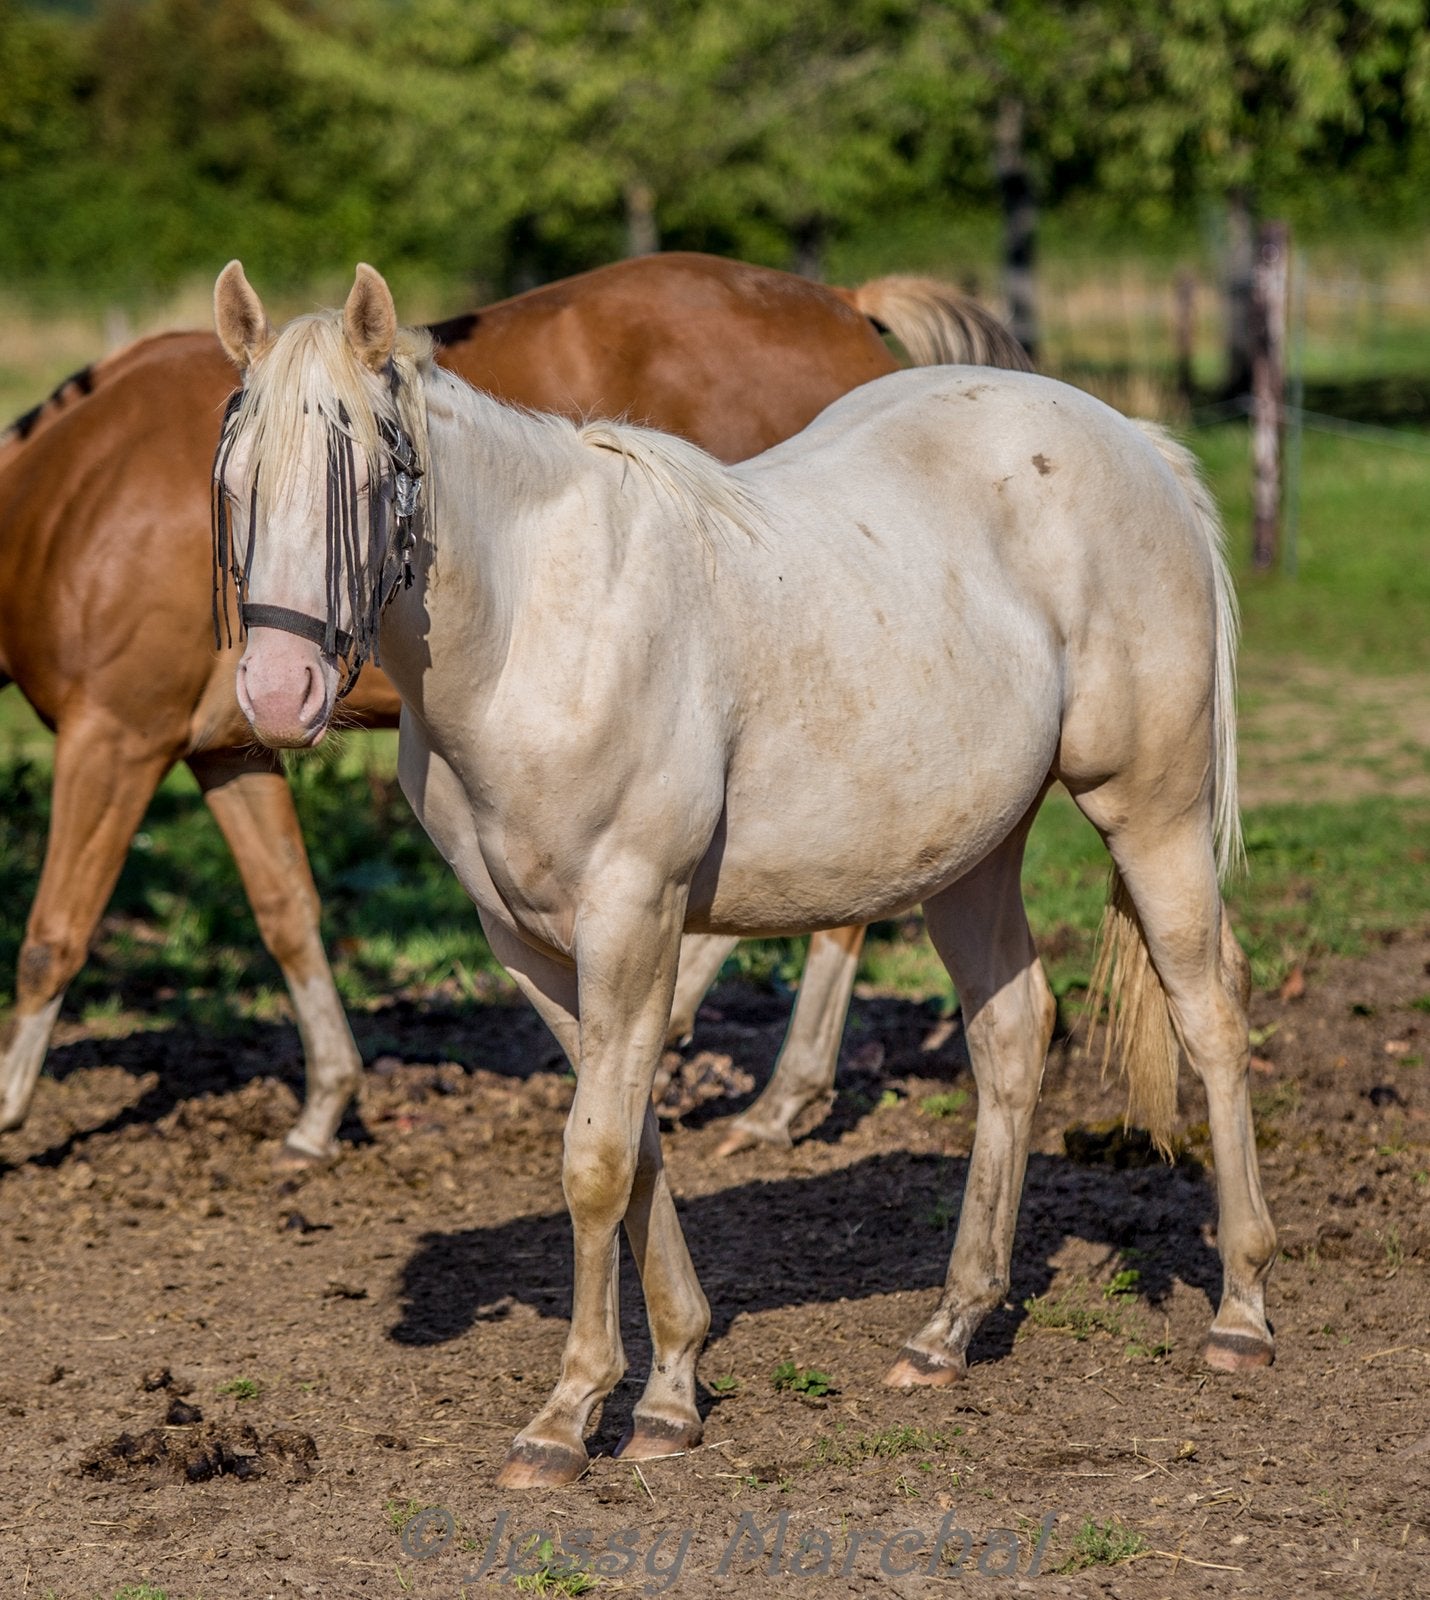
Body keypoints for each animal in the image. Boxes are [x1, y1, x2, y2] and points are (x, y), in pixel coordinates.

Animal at [0, 251, 1030, 1162]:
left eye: (363, 488)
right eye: (226, 487)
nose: (284, 684)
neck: (72, 494)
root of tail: (844, 303)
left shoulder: (115, 739)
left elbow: (53, 935)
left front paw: (9, 1112)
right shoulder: (229, 751)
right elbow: (288, 911)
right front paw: (325, 1105)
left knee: (843, 909)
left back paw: (772, 1095)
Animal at [215, 263, 1277, 1488]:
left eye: (364, 473)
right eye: (236, 481)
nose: (277, 691)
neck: (538, 628)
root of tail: (1132, 441)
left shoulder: (632, 916)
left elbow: (594, 1160)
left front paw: (567, 1416)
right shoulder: (530, 944)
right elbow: (632, 1145)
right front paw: (671, 1385)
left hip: (1148, 810)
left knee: (1210, 1013)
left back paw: (1241, 1311)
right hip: (970, 856)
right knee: (1012, 1035)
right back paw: (949, 1327)